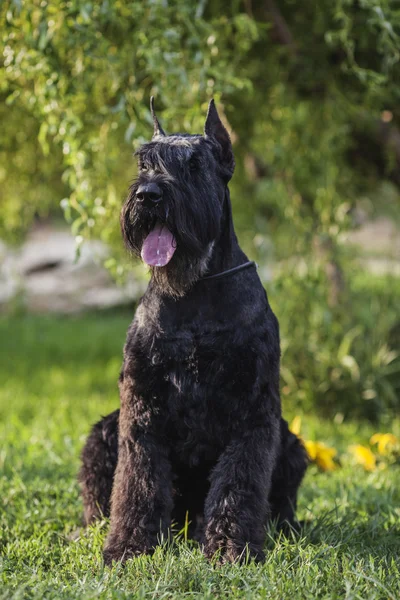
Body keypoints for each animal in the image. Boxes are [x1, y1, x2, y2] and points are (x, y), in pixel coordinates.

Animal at [79, 98, 308, 564]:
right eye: (144, 161)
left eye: (195, 165)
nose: (148, 195)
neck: (195, 289)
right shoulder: (141, 404)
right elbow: (139, 478)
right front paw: (129, 546)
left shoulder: (254, 410)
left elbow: (238, 481)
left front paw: (230, 547)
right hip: (102, 433)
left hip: (292, 444)